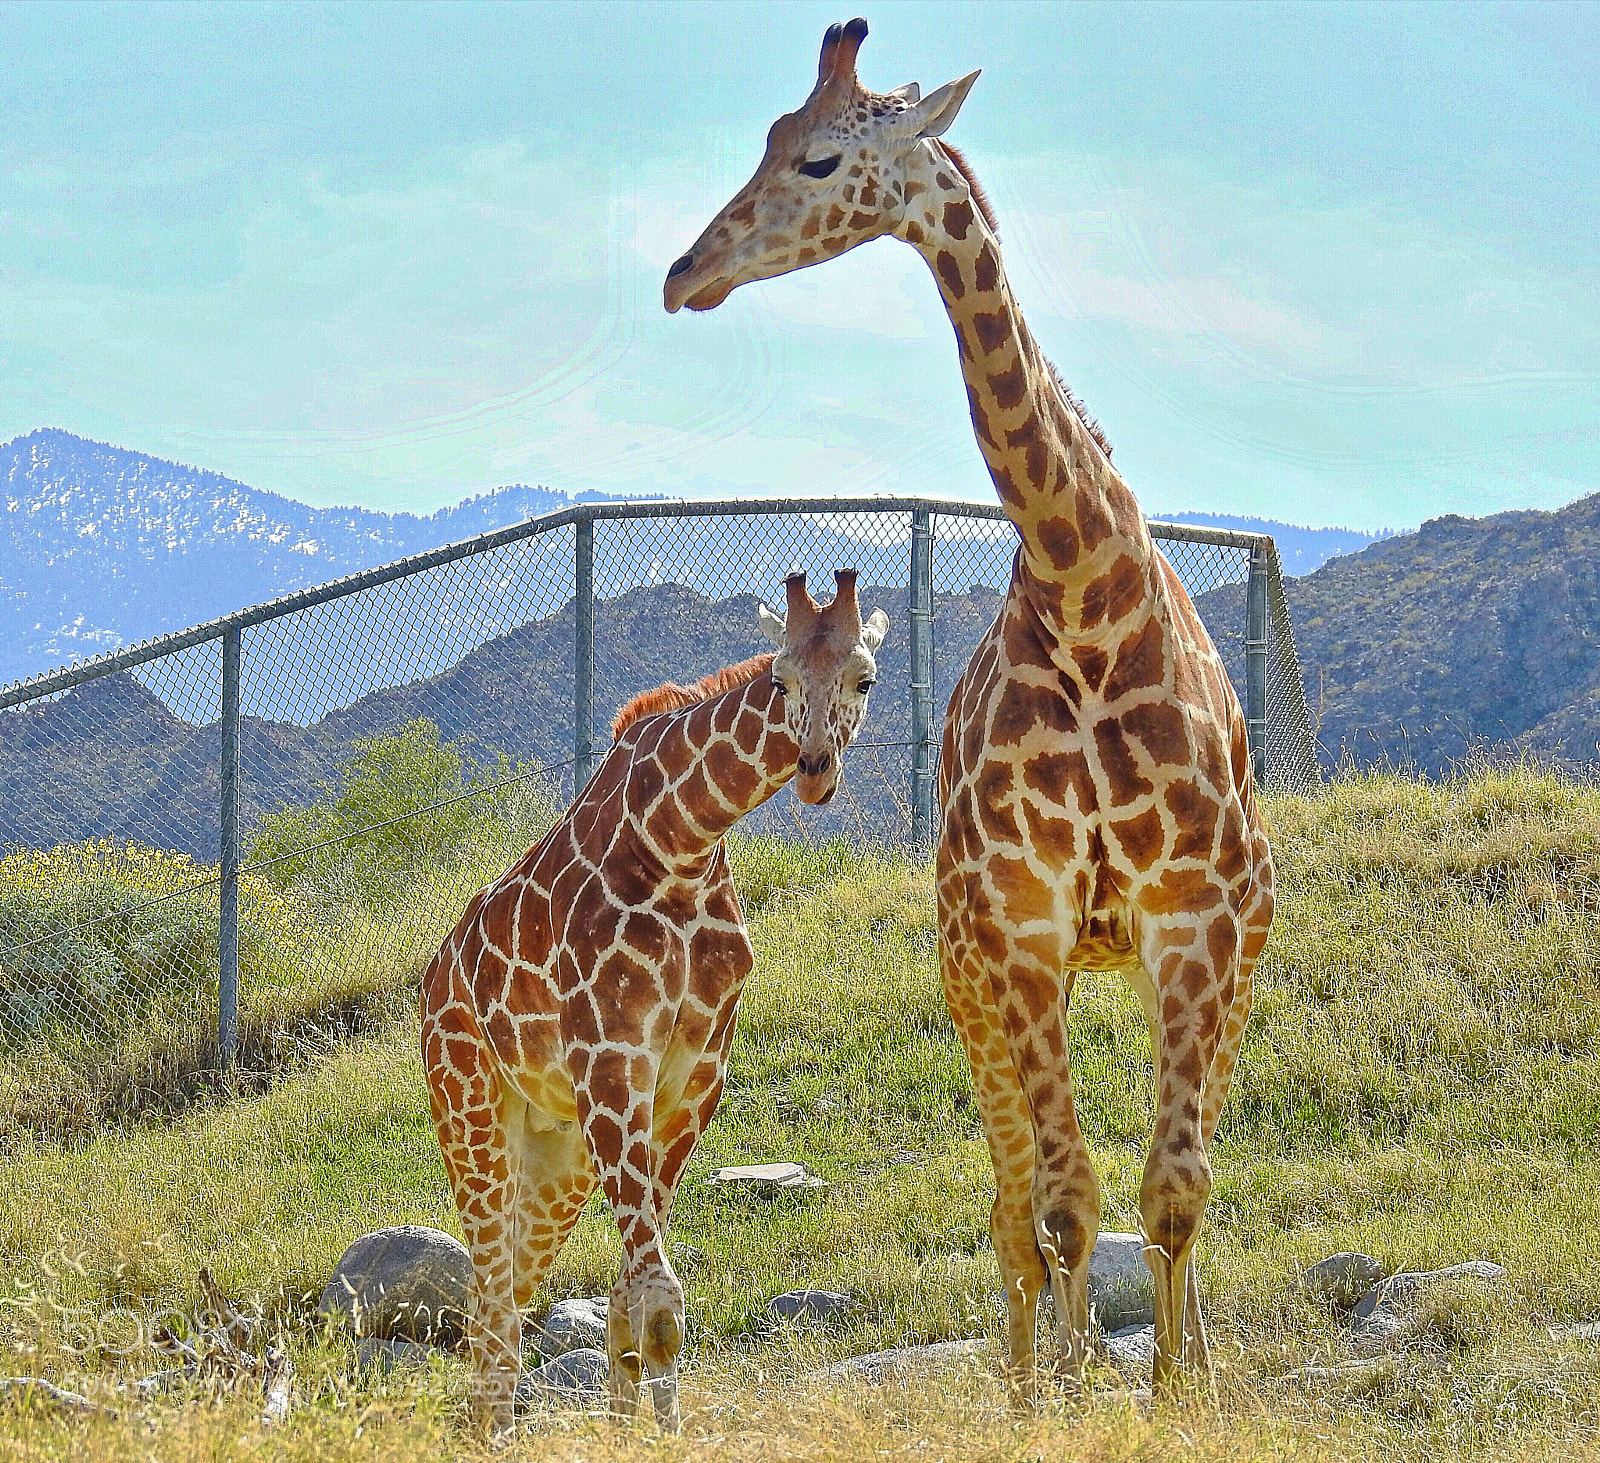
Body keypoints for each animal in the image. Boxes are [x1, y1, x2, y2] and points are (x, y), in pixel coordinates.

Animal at [421, 570, 889, 1435]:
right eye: (781, 678)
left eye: (862, 678)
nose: (814, 768)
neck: (680, 840)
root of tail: (432, 982)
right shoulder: (612, 1060)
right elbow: (659, 1297)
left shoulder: (692, 1077)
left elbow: (627, 1299)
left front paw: (631, 1428)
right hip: (470, 1111)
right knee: (489, 1296)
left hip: (558, 1150)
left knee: (503, 1295)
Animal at [663, 19, 1275, 1401]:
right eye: (769, 138)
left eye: (819, 155)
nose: (685, 273)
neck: (1085, 593)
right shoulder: (1022, 927)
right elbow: (1061, 1201)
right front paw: (1075, 1396)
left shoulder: (1197, 924)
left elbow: (1172, 1188)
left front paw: (1178, 1394)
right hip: (972, 976)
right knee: (1013, 1206)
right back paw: (1027, 1372)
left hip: (1193, 962)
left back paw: (1183, 1359)